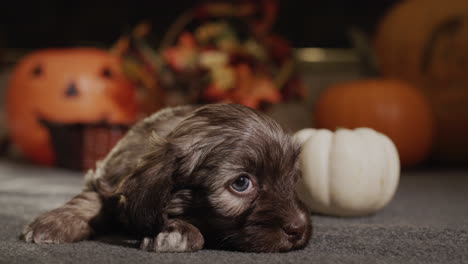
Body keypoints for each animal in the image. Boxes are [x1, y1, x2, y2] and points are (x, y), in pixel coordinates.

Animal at [20, 103, 312, 252]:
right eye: (241, 183)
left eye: (292, 179)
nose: (299, 229)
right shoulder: (108, 178)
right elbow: (88, 199)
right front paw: (55, 223)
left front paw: (175, 231)